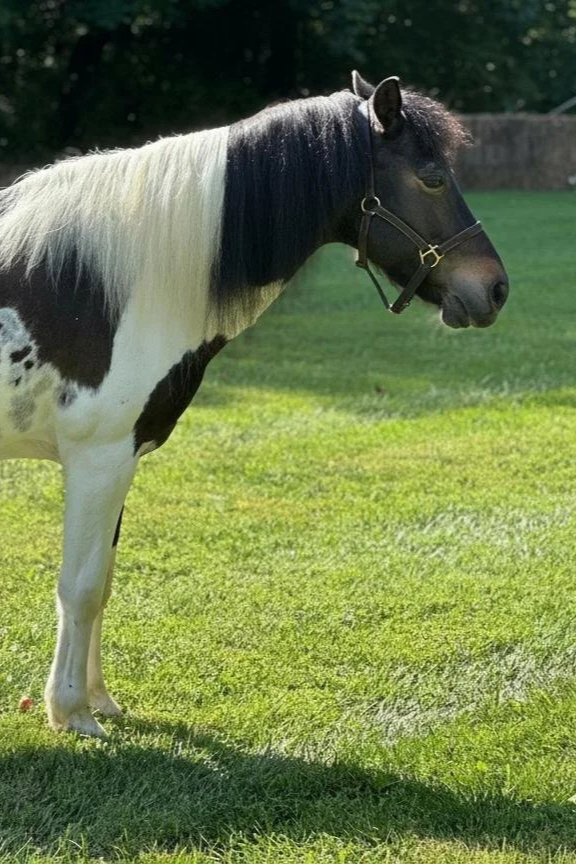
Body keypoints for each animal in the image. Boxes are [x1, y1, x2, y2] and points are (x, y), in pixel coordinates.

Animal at [0, 72, 508, 737]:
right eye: (432, 177)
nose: (495, 289)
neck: (119, 285)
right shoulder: (99, 459)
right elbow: (80, 586)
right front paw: (71, 713)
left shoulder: (119, 459)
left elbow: (103, 582)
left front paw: (98, 699)